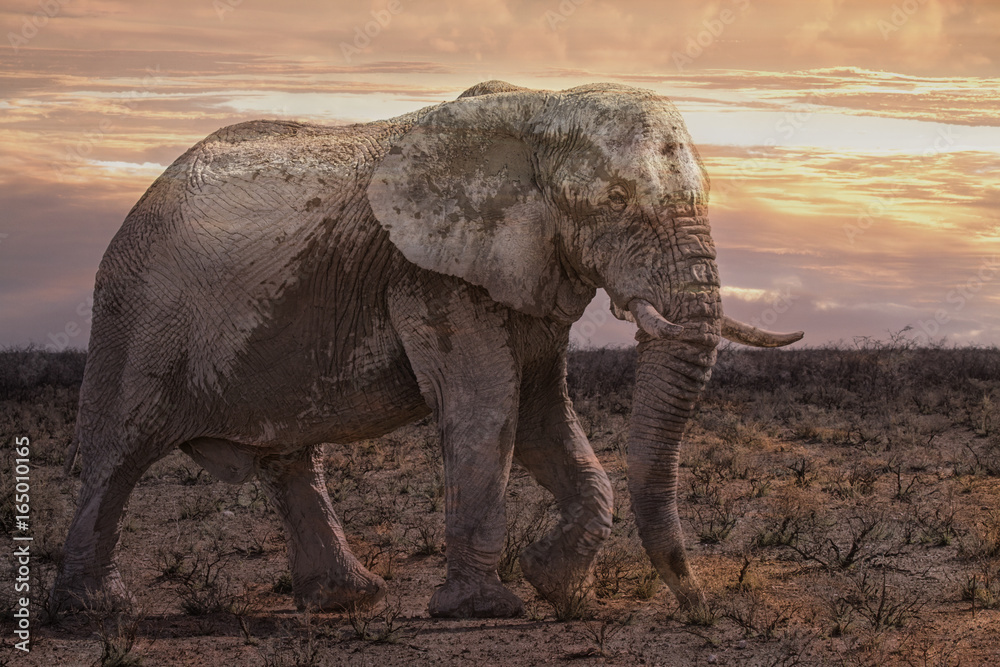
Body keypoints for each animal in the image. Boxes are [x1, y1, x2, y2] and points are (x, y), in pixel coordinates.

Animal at [53, 80, 802, 618]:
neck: (543, 107)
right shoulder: (429, 275)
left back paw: (348, 599)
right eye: (615, 201)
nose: (700, 613)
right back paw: (95, 611)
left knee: (288, 460)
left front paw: (557, 587)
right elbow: (488, 407)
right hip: (137, 314)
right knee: (120, 453)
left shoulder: (524, 268)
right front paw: (486, 609)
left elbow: (540, 415)